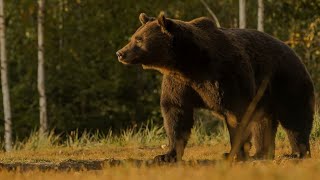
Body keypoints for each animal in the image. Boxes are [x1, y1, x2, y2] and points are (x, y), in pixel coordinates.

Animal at [116, 12, 314, 162]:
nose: (120, 53)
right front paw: (166, 155)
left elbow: (236, 114)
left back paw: (297, 152)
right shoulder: (179, 83)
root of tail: (293, 51)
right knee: (263, 122)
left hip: (286, 80)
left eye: (139, 40)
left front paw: (233, 153)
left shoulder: (225, 75)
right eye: (133, 37)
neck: (188, 63)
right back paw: (261, 153)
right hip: (264, 94)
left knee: (295, 115)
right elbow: (176, 112)